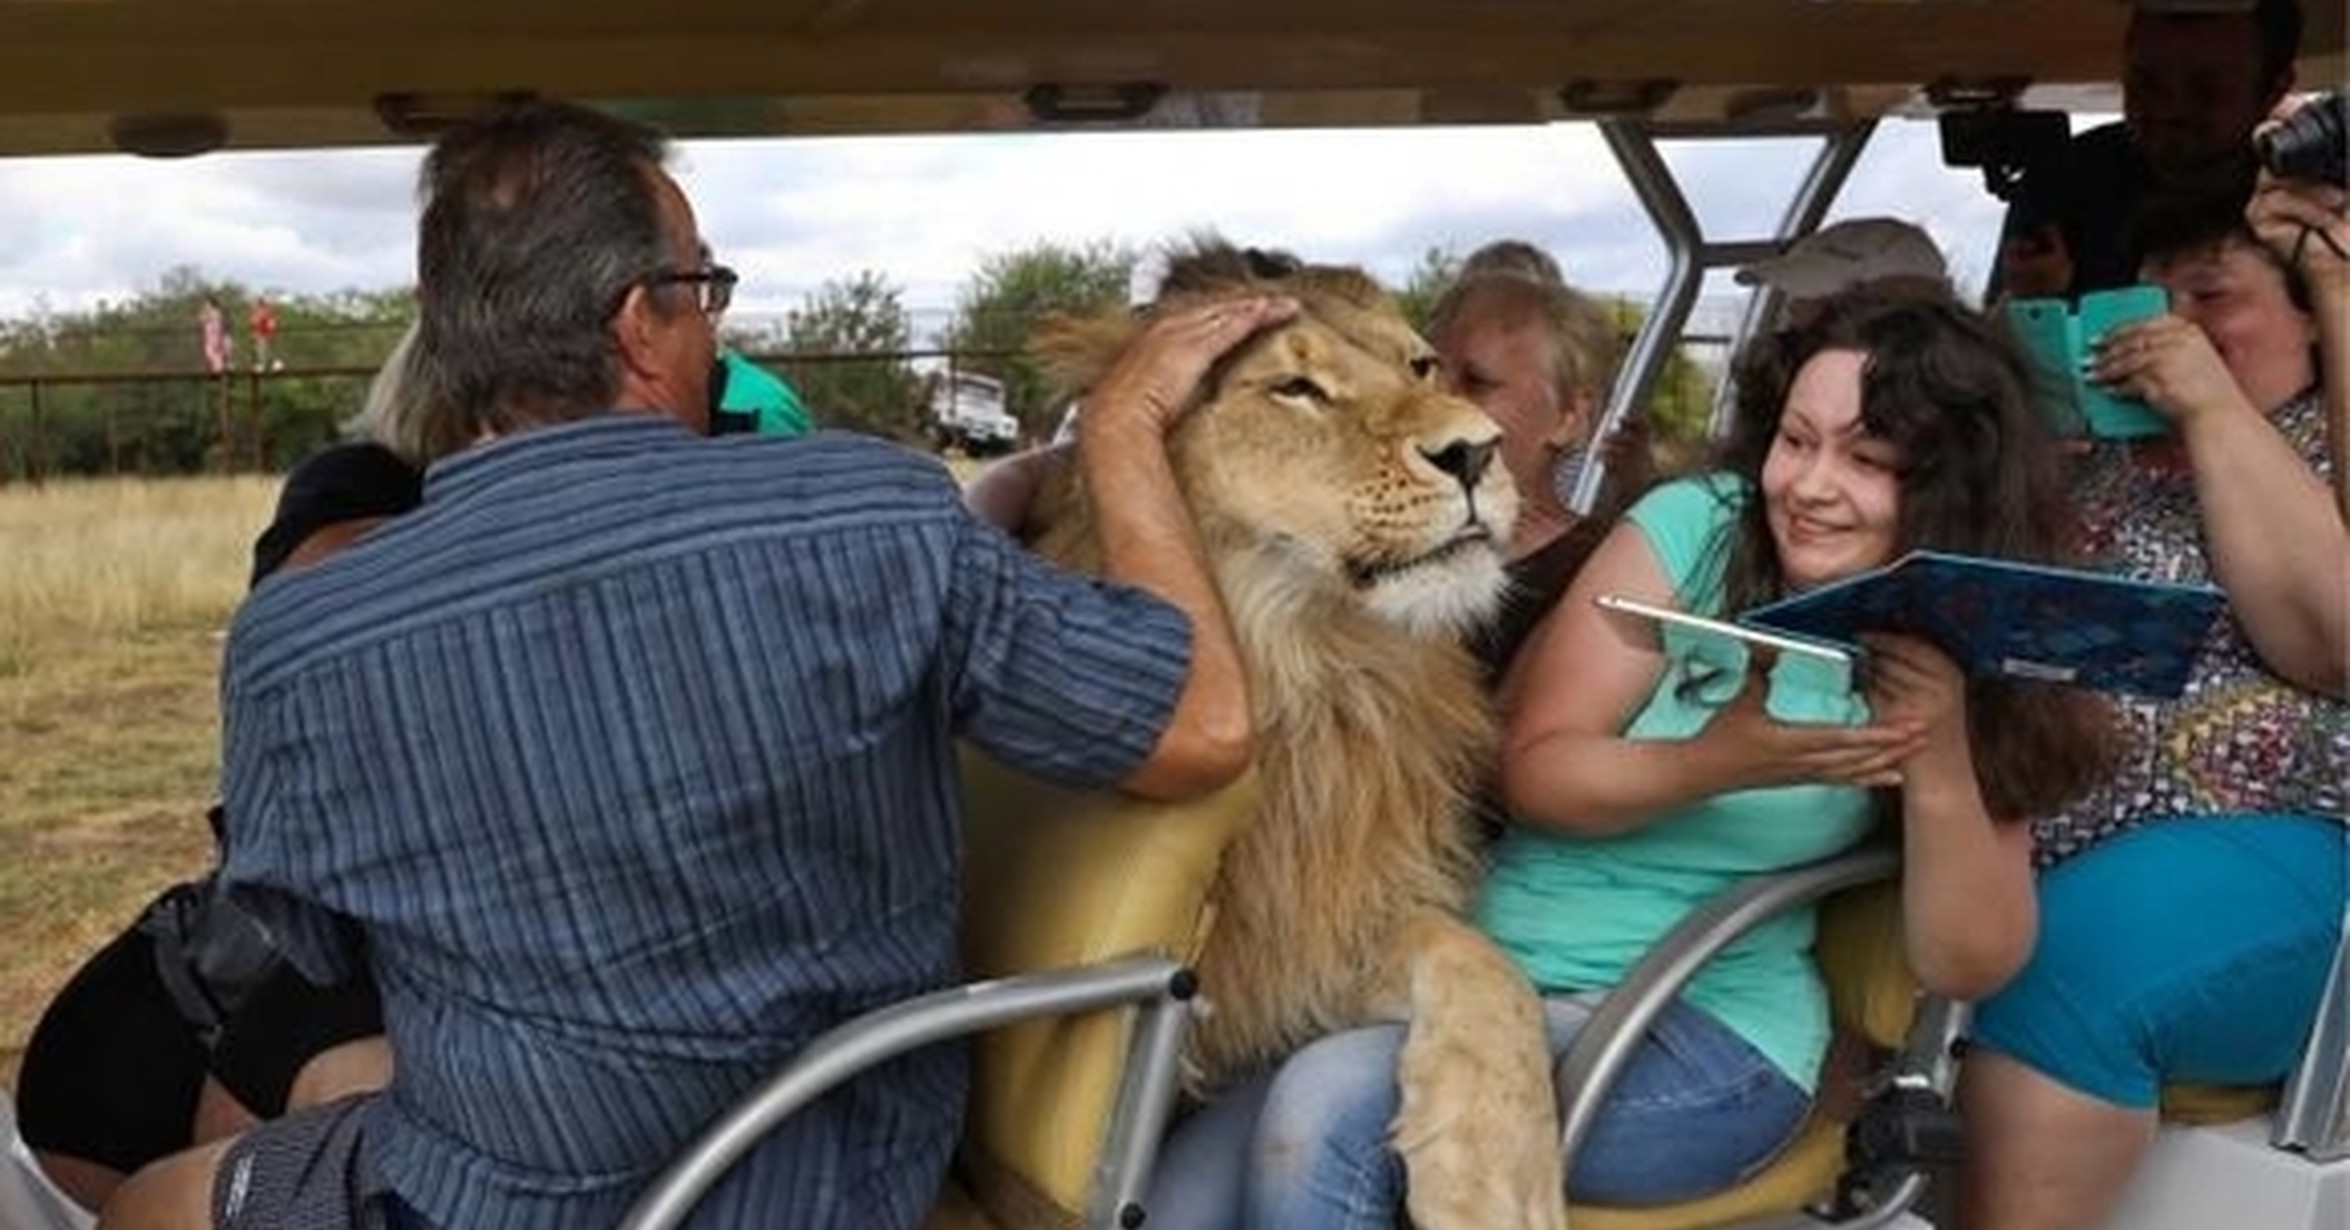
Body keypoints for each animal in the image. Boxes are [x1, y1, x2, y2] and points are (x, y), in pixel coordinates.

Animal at [1024, 245, 1560, 1230]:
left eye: (1422, 366)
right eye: (1297, 388)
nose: (1478, 448)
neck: (1313, 678)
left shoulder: (1312, 930)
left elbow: (1484, 967)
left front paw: (1499, 1184)